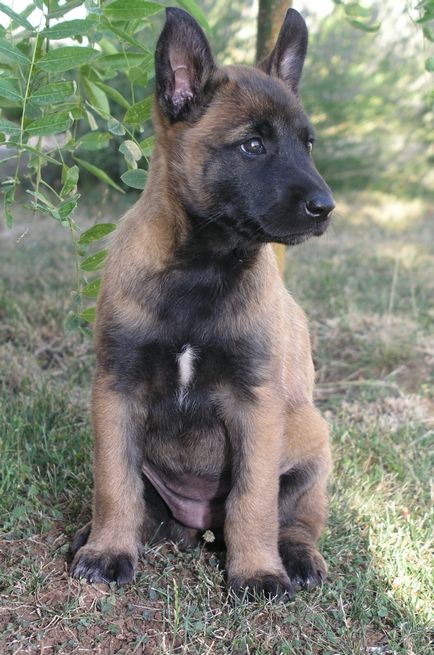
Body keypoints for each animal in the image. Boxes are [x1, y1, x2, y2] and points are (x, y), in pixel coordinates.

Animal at [70, 6, 336, 600]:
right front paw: (108, 549)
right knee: (140, 501)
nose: (325, 207)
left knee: (297, 518)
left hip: (312, 441)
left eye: (306, 145)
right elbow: (114, 484)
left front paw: (256, 570)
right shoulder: (115, 389)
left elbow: (253, 500)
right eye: (253, 146)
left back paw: (297, 557)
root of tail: (197, 528)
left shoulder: (255, 403)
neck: (202, 269)